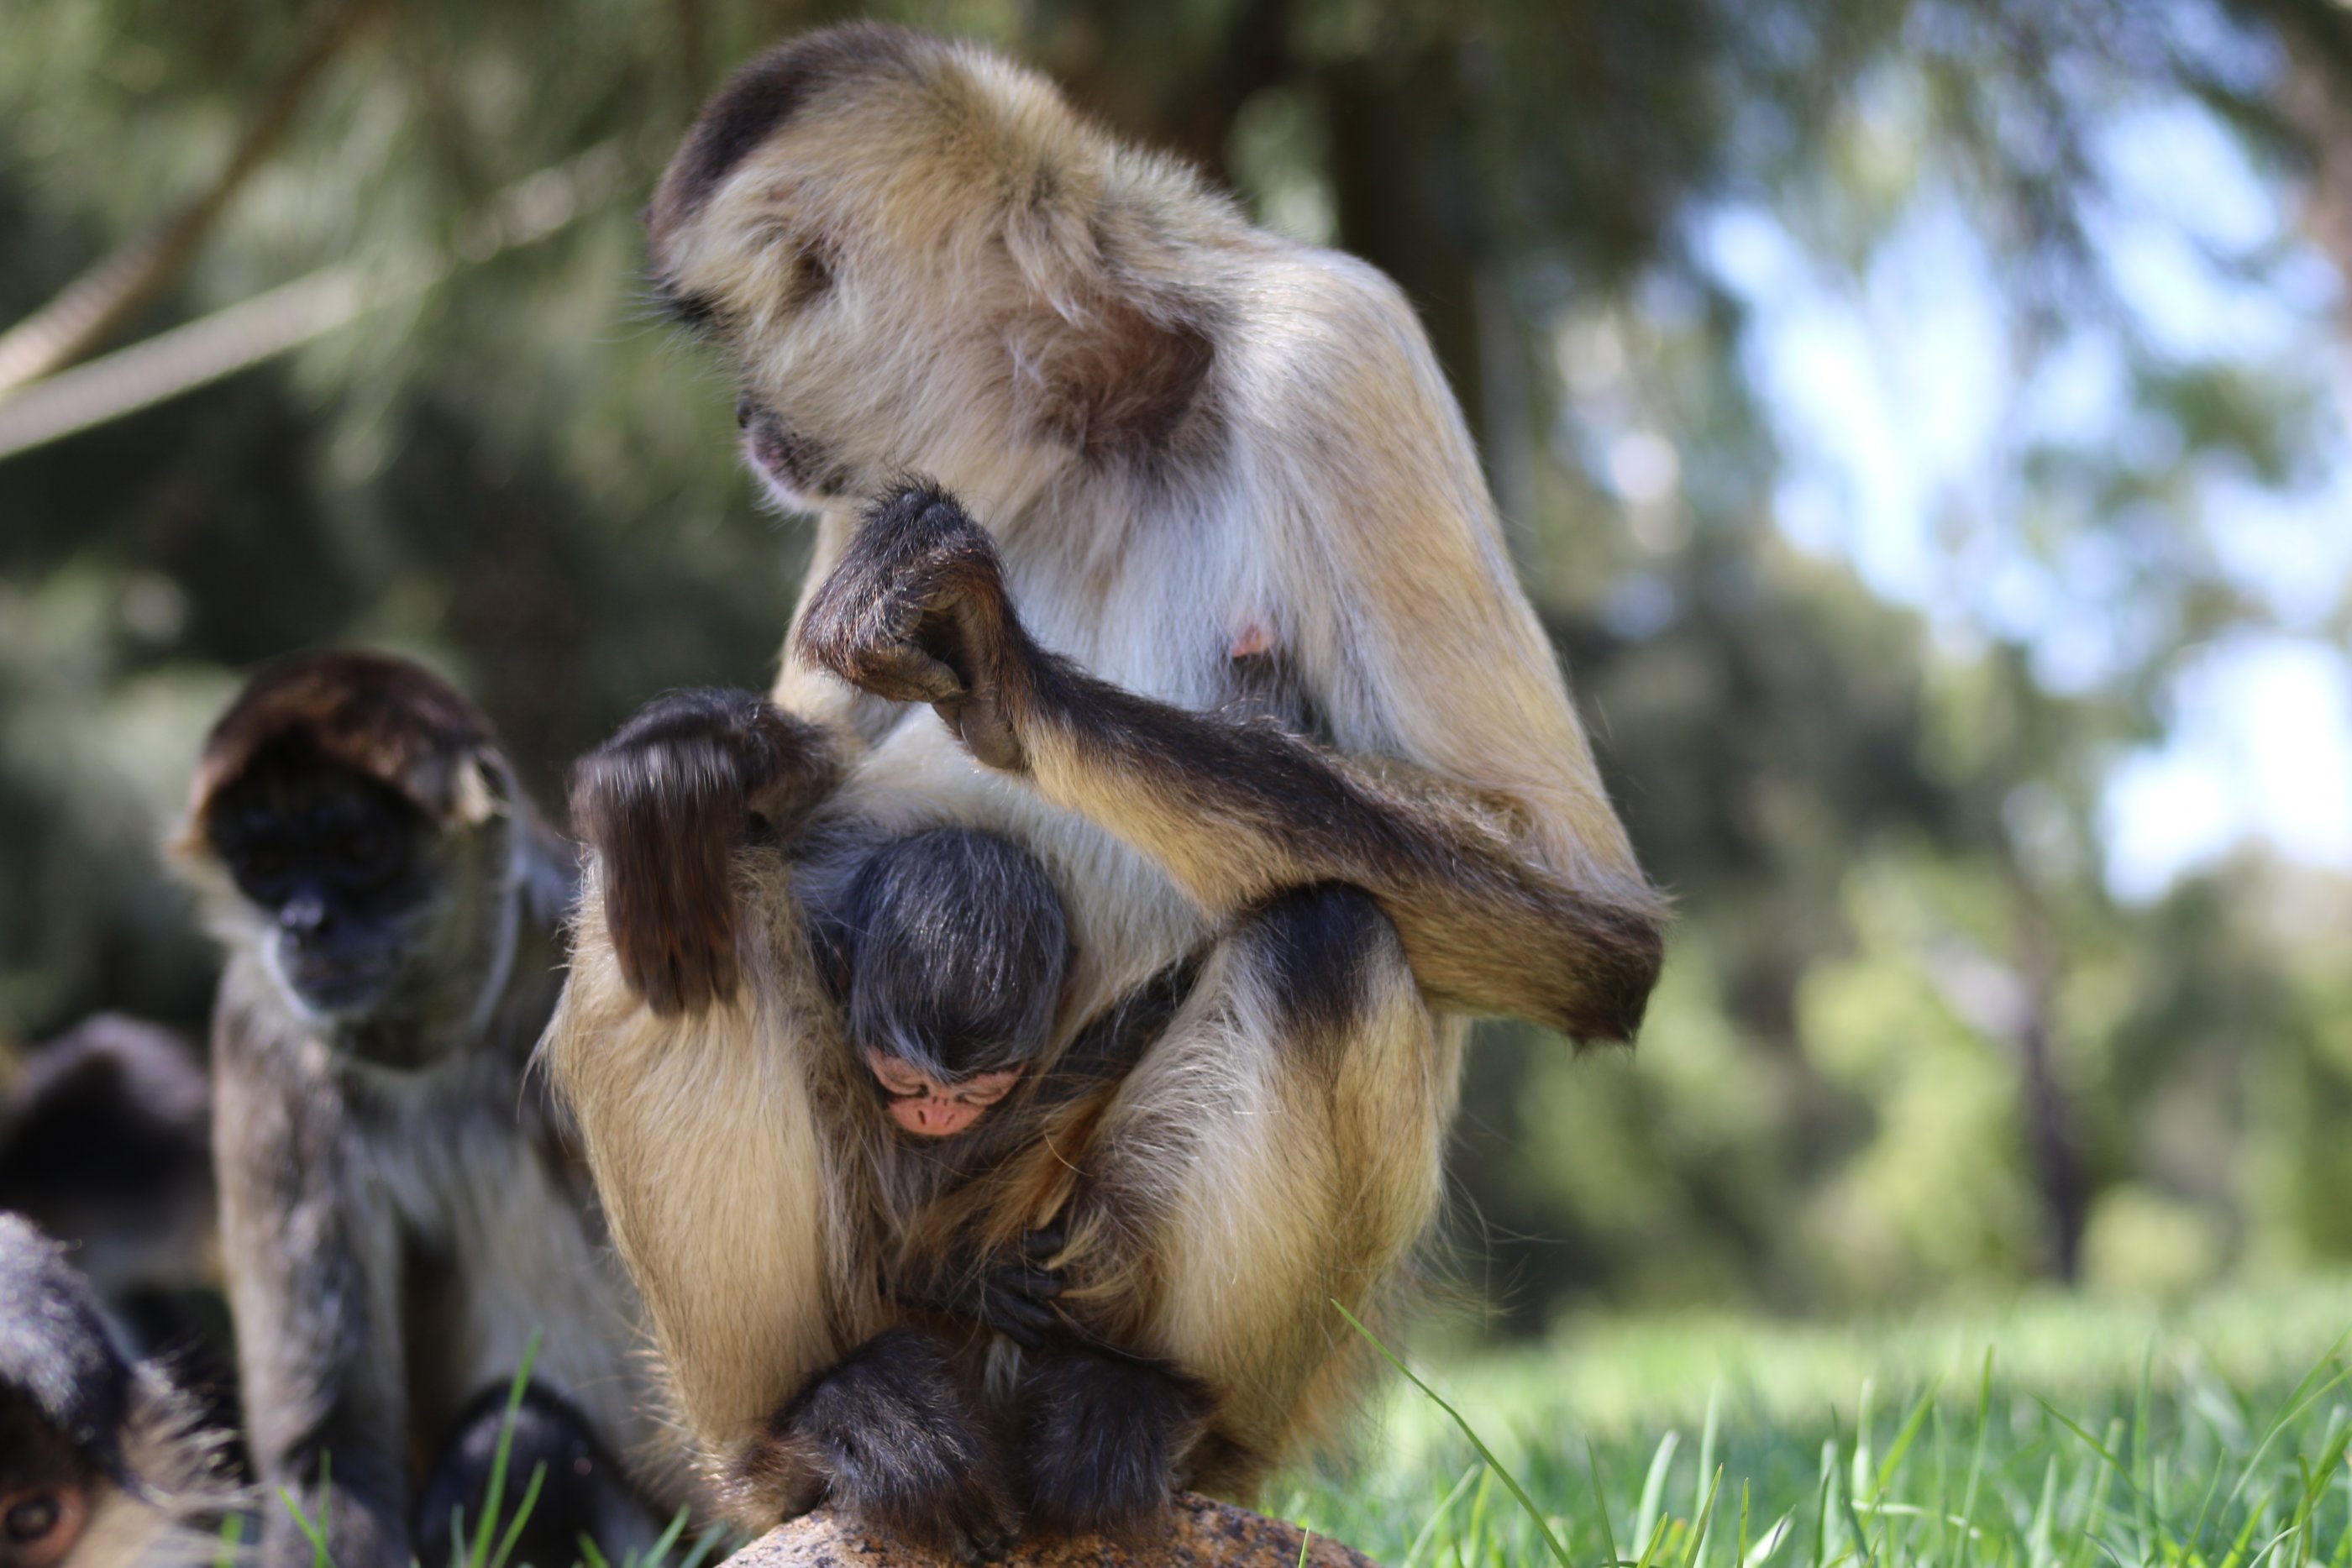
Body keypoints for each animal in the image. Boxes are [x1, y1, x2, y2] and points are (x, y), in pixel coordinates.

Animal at [174, 652, 684, 1568]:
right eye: (263, 860)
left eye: (359, 848)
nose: (306, 921)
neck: (444, 1044)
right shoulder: (262, 1024)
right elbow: (333, 1448)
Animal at [543, 22, 1666, 1557]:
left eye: (732, 330)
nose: (744, 421)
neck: (1108, 405)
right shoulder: (893, 481)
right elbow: (764, 782)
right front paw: (702, 753)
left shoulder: (1334, 343)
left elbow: (1595, 925)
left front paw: (1002, 672)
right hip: (897, 1256)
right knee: (664, 877)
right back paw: (825, 1423)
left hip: (1088, 1263)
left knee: (1334, 934)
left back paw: (1132, 1409)